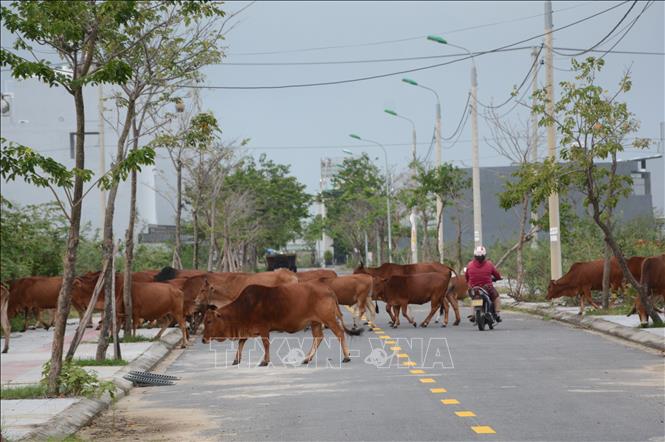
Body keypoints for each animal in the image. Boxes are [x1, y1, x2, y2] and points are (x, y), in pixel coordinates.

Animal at [201, 284, 360, 366]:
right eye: (204, 320)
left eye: (209, 321)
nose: (203, 340)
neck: (244, 308)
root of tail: (329, 290)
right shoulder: (245, 330)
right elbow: (241, 343)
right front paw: (236, 359)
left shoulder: (264, 329)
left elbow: (266, 344)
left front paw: (265, 361)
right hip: (315, 322)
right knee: (318, 337)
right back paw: (306, 358)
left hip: (329, 319)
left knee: (339, 333)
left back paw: (346, 357)